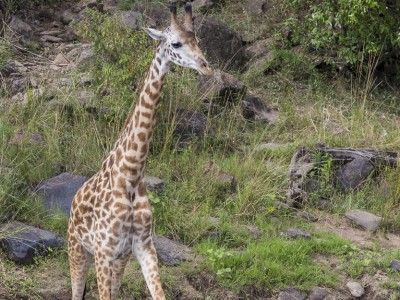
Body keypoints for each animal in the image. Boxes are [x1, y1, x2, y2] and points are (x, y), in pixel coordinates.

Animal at [68, 4, 212, 300]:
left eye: (197, 40)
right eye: (176, 43)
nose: (206, 68)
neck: (132, 174)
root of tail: (73, 202)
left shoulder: (143, 245)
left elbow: (158, 293)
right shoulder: (103, 250)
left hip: (119, 259)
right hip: (77, 250)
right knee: (75, 292)